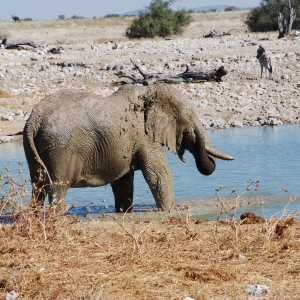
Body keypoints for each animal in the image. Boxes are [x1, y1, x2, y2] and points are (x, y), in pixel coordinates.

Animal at [23, 83, 234, 212]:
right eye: (188, 119)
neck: (148, 91)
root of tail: (35, 119)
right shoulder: (145, 137)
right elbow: (159, 175)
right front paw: (169, 211)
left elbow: (123, 184)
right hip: (60, 148)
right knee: (58, 188)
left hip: (35, 147)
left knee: (38, 188)